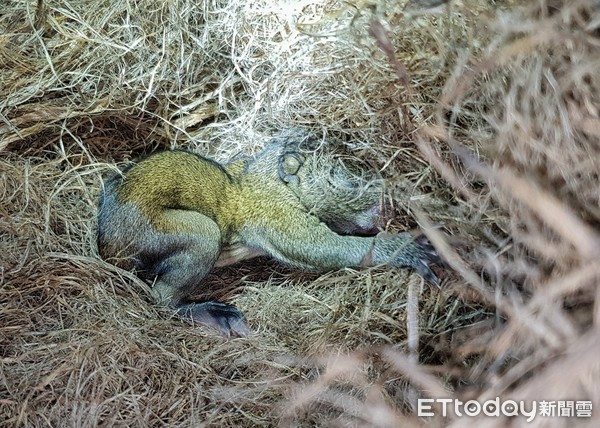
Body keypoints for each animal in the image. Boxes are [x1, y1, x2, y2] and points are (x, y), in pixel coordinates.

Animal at [96, 130, 438, 338]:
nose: (382, 207)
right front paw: (403, 247)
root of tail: (107, 249)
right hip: (170, 233)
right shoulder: (273, 210)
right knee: (162, 298)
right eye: (346, 183)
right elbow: (324, 247)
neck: (269, 178)